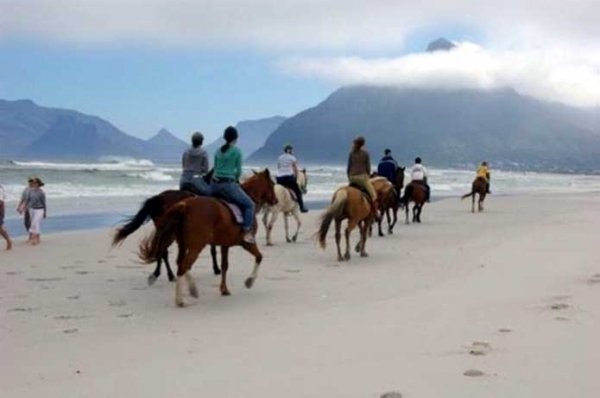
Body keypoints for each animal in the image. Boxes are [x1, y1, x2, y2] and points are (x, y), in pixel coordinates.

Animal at [137, 169, 276, 306]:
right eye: (272, 184)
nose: (275, 200)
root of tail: (185, 205)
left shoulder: (225, 245)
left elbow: (225, 265)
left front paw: (224, 289)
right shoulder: (246, 243)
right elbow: (259, 257)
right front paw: (249, 281)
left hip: (181, 243)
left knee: (179, 262)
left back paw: (184, 286)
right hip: (196, 245)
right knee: (182, 264)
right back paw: (181, 297)